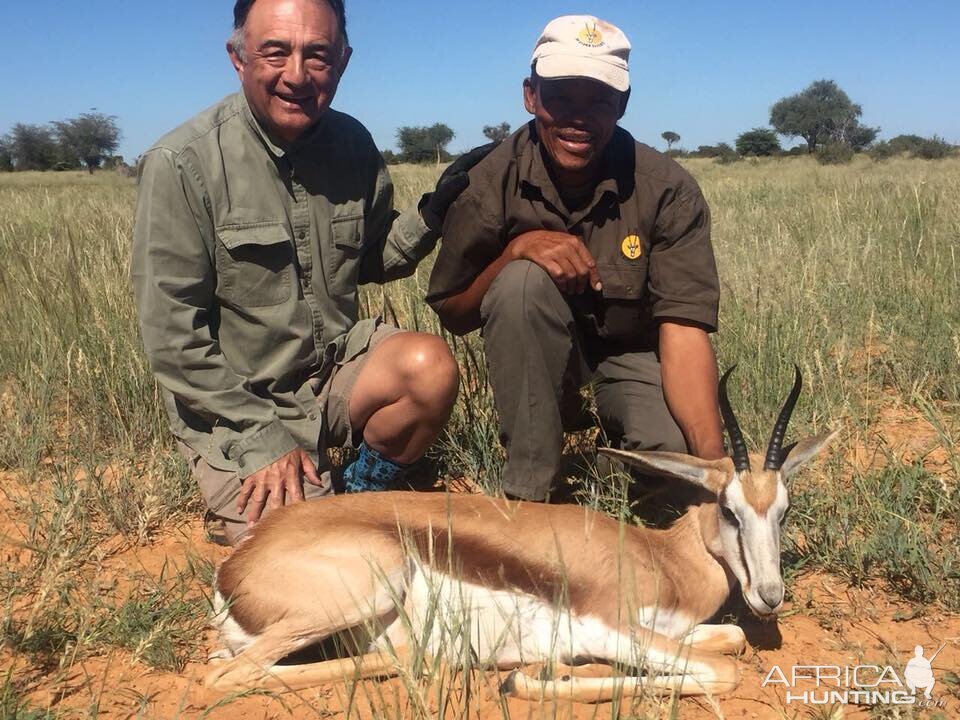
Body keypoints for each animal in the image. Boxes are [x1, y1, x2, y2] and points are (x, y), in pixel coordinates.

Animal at [206, 368, 836, 700]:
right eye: (729, 509)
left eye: (783, 510)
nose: (770, 597)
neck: (661, 558)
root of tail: (235, 568)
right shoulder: (610, 626)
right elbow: (723, 670)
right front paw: (535, 675)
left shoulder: (673, 630)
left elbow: (729, 640)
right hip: (369, 586)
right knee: (227, 674)